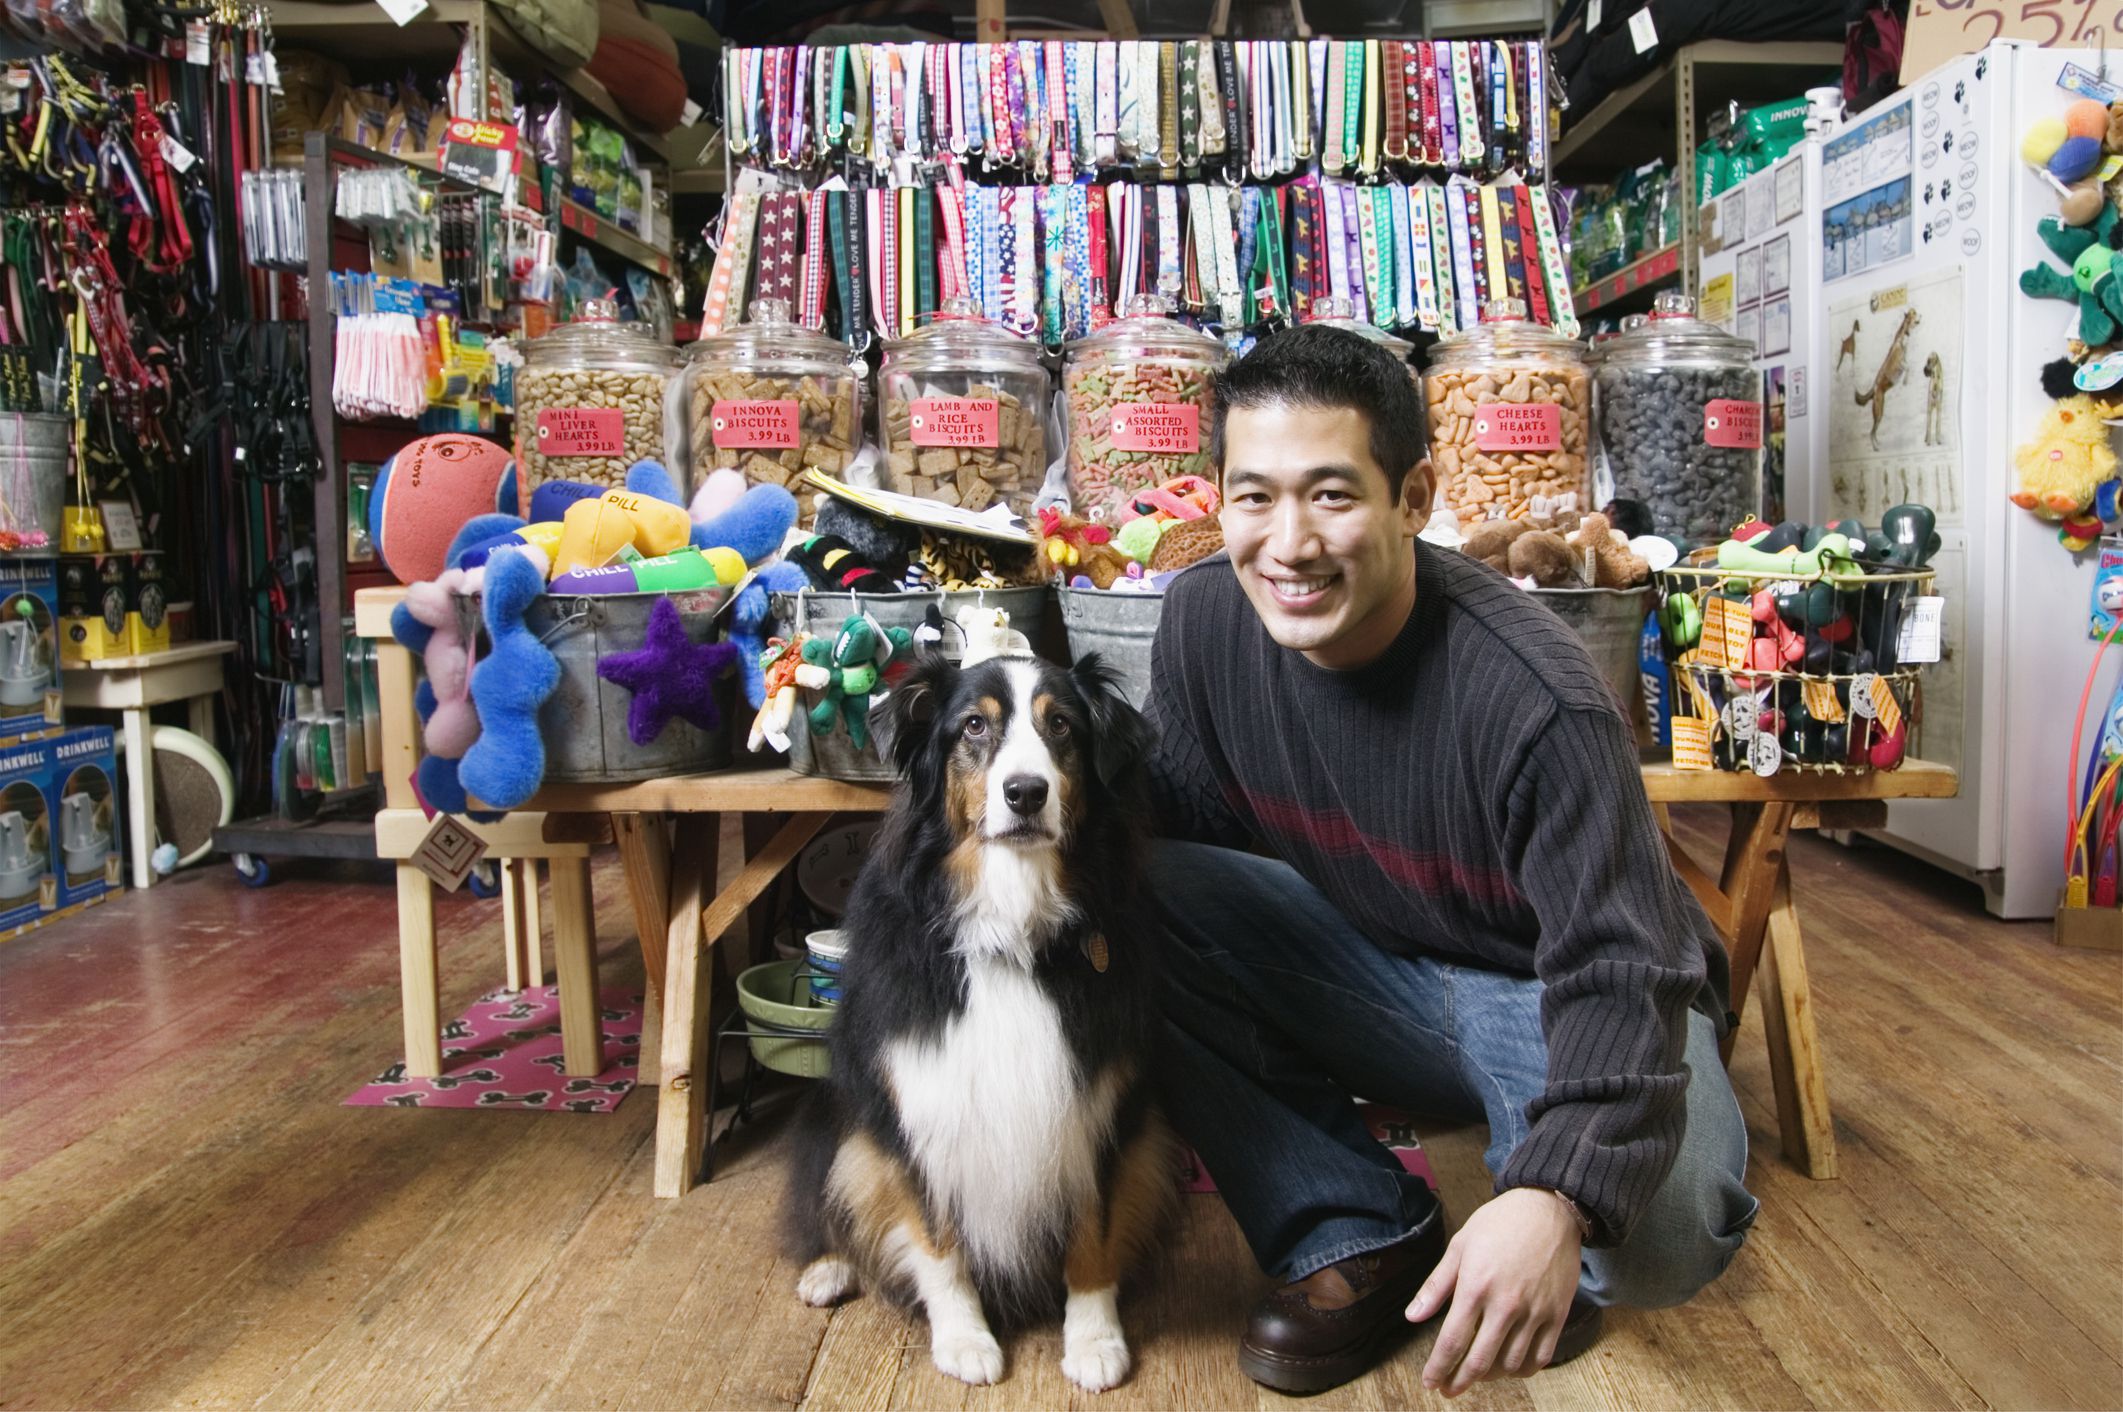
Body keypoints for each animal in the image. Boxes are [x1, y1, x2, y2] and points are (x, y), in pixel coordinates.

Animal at [785, 649, 1171, 1384]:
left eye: (1062, 726)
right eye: (973, 726)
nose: (1026, 793)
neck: (1011, 930)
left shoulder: (1100, 1104)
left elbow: (1095, 1228)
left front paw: (1094, 1340)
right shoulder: (913, 1100)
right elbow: (934, 1235)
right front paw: (964, 1337)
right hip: (838, 1112)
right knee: (831, 1188)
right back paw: (827, 1268)